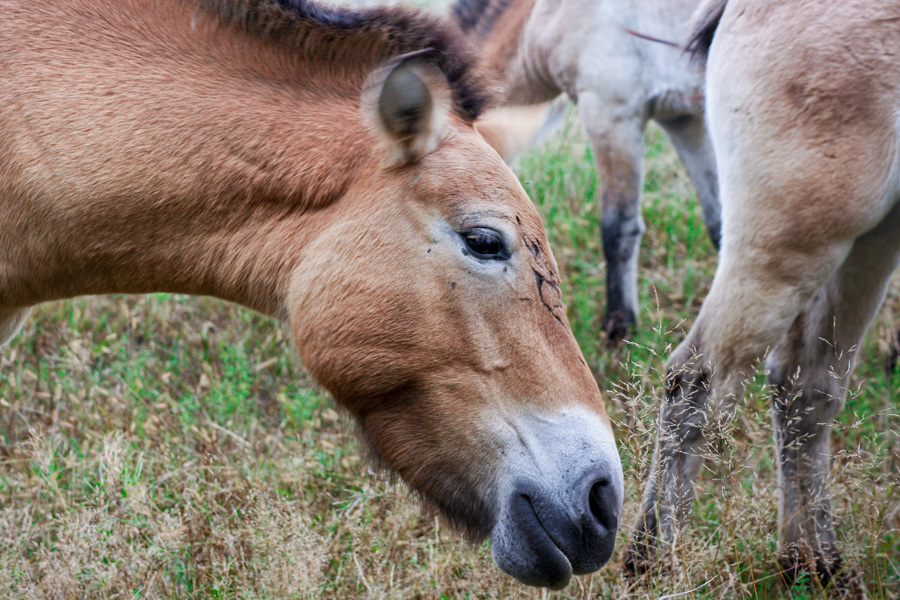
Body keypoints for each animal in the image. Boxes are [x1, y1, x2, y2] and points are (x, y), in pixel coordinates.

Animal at [454, 0, 720, 342]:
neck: (546, 16)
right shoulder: (683, 120)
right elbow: (720, 224)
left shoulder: (609, 113)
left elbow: (618, 227)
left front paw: (619, 326)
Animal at [628, 0, 900, 584]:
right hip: (799, 242)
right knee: (698, 379)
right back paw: (652, 561)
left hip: (870, 238)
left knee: (807, 386)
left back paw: (816, 566)